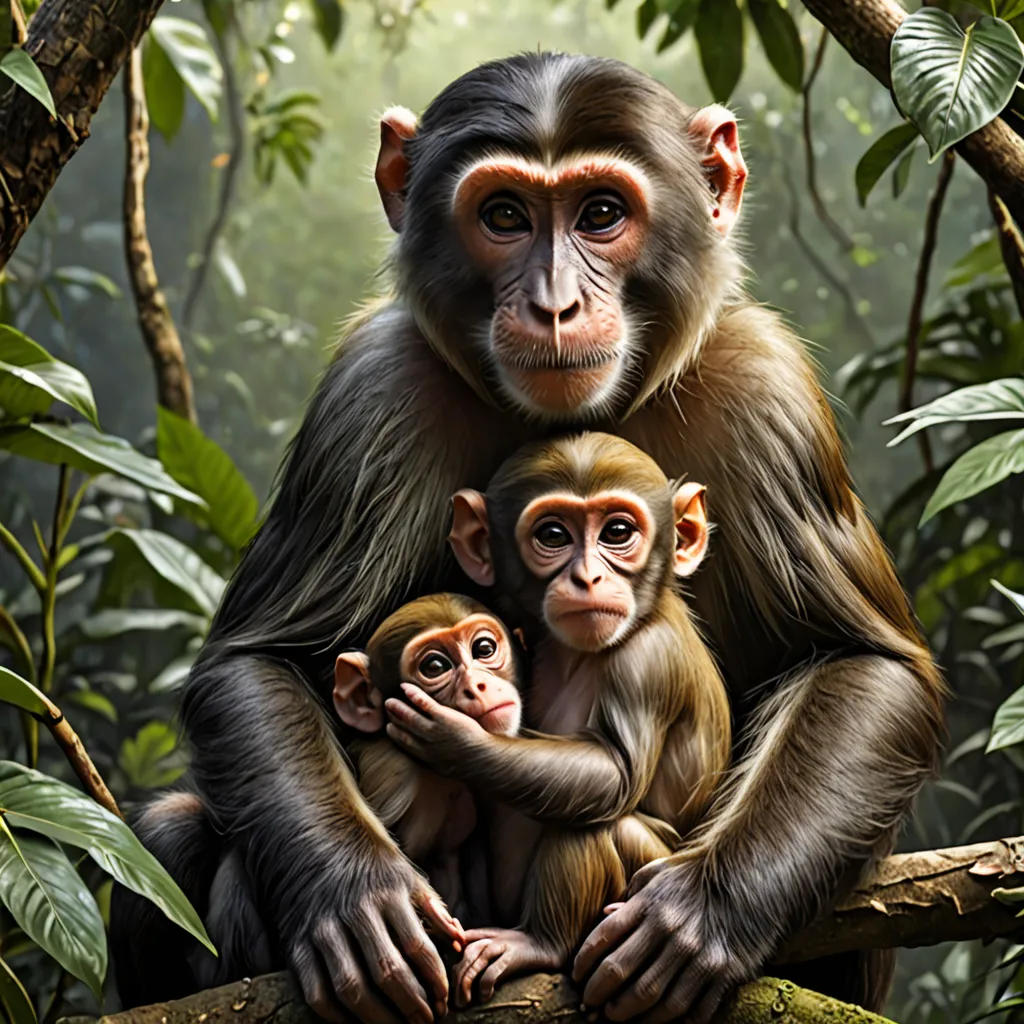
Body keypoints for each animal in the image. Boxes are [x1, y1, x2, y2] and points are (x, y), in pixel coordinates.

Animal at [384, 433, 731, 1005]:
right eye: (553, 535)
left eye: (617, 533)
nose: (588, 576)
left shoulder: (647, 659)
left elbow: (615, 772)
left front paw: (453, 739)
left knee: (594, 822)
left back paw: (540, 944)